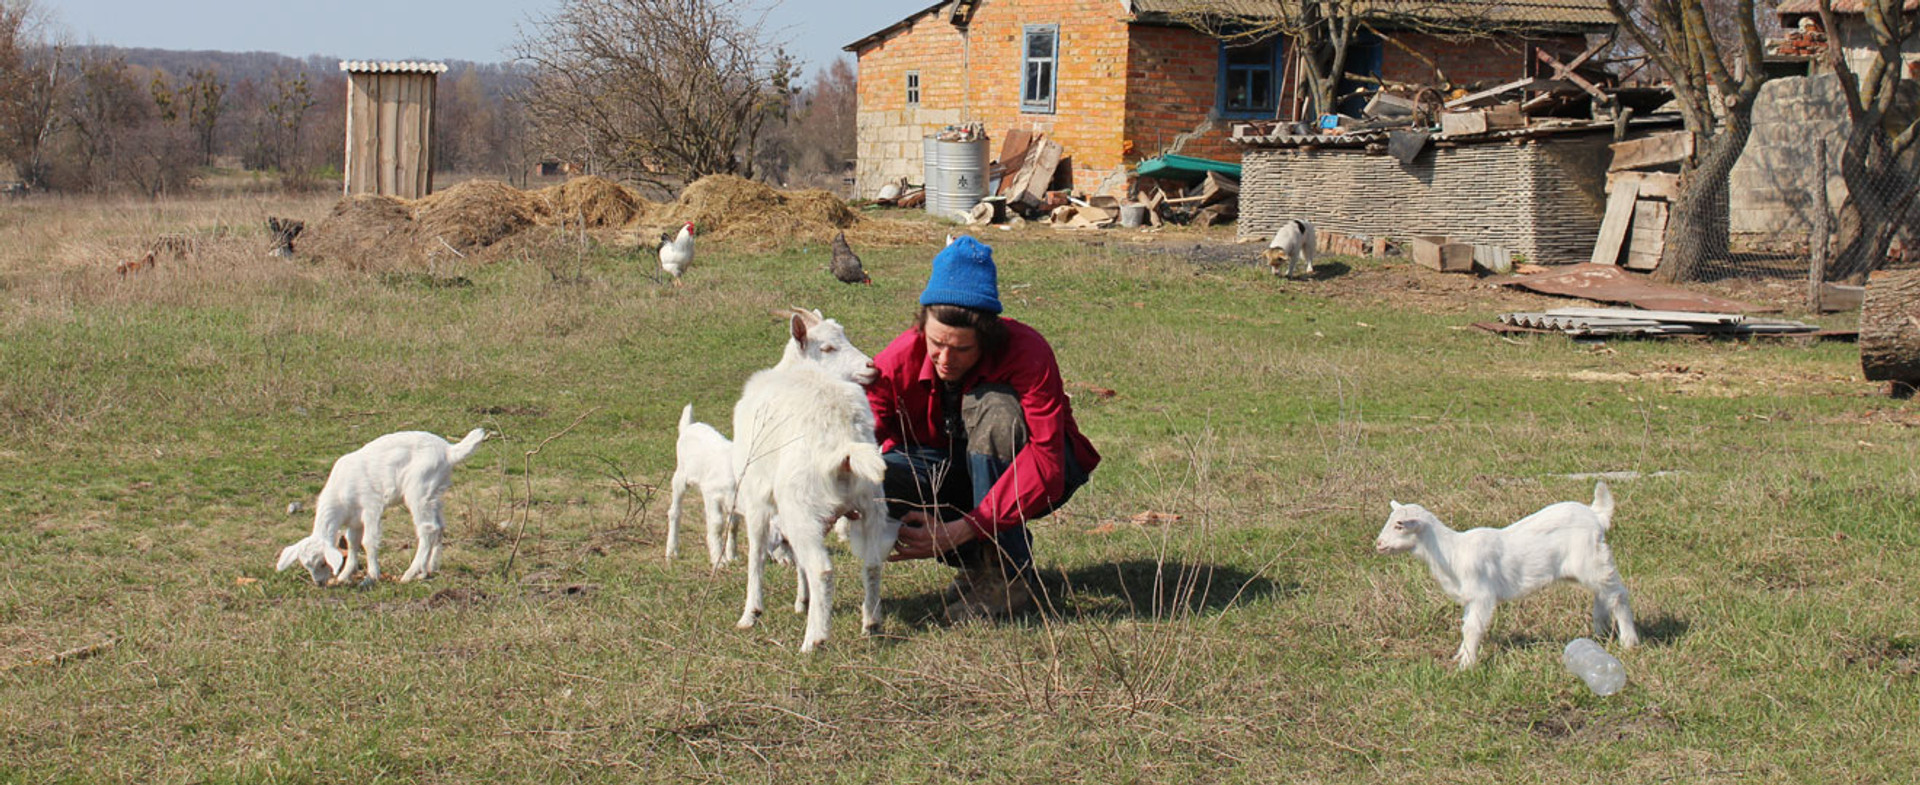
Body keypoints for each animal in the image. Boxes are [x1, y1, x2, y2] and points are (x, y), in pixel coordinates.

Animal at [278, 428, 487, 587]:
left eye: (323, 562)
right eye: (306, 566)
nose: (319, 583)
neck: (340, 496)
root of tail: (449, 451)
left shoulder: (371, 505)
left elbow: (368, 541)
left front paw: (372, 575)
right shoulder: (354, 520)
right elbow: (352, 542)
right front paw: (345, 575)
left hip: (419, 489)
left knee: (428, 528)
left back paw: (409, 574)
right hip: (435, 493)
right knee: (440, 526)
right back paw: (428, 569)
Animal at [668, 403, 741, 564]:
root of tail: (689, 427)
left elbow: (733, 525)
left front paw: (733, 556)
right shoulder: (711, 492)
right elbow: (717, 524)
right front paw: (719, 560)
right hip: (680, 475)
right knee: (674, 511)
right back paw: (672, 552)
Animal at [725, 305, 898, 648]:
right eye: (828, 347)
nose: (872, 367)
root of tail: (845, 440)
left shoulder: (756, 497)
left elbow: (756, 554)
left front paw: (750, 613)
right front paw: (802, 601)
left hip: (801, 505)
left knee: (822, 569)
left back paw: (814, 641)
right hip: (870, 503)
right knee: (872, 562)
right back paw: (871, 623)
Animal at [1374, 479, 1643, 671]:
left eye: (1399, 525)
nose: (1378, 544)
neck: (1453, 552)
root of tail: (1596, 515)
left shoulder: (1482, 595)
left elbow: (1473, 628)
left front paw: (1466, 665)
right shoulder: (1470, 598)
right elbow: (1466, 625)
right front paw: (1460, 655)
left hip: (1593, 561)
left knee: (1618, 594)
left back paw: (1629, 641)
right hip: (1590, 566)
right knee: (1603, 594)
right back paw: (1600, 630)